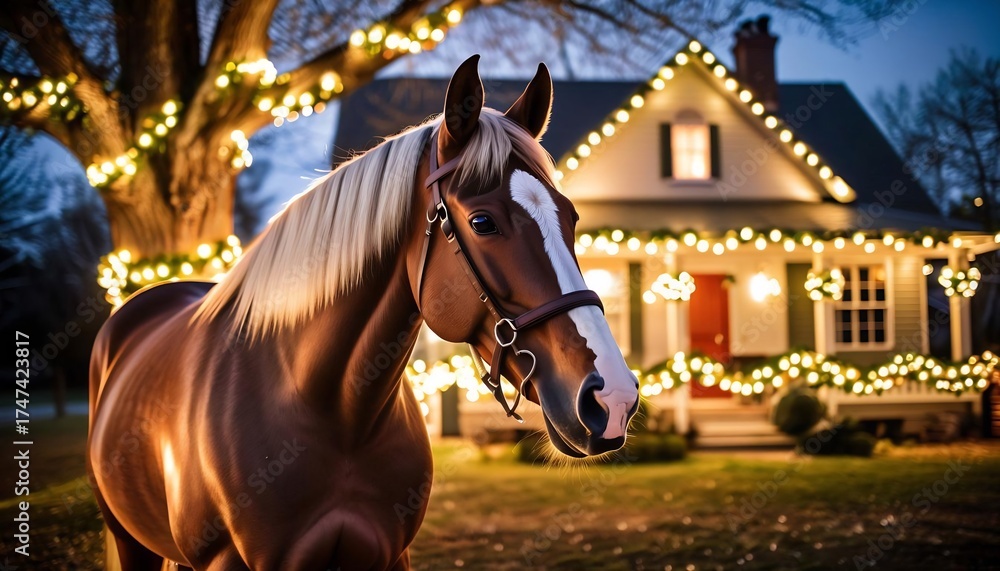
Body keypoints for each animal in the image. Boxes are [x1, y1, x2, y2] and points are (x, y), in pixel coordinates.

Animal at [87, 55, 640, 570]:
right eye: (483, 222)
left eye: (571, 217)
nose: (612, 397)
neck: (331, 409)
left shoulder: (390, 555)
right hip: (128, 540)